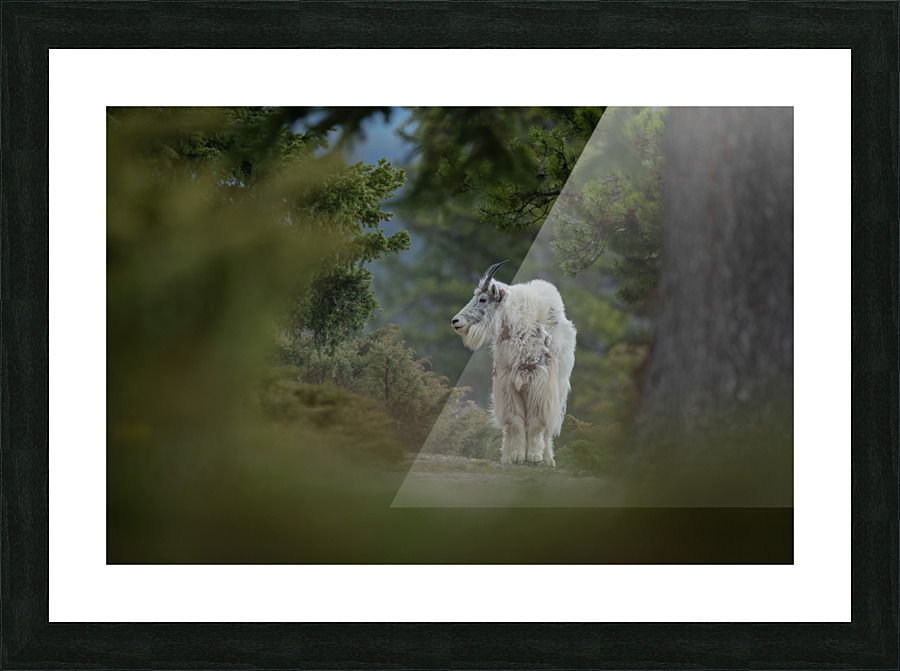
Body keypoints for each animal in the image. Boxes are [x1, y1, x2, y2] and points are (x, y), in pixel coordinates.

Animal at [452, 261, 576, 466]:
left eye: (483, 299)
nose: (456, 321)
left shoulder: (541, 385)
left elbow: (537, 421)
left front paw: (534, 457)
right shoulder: (507, 385)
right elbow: (514, 421)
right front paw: (516, 456)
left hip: (558, 390)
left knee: (549, 428)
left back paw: (548, 459)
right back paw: (507, 455)